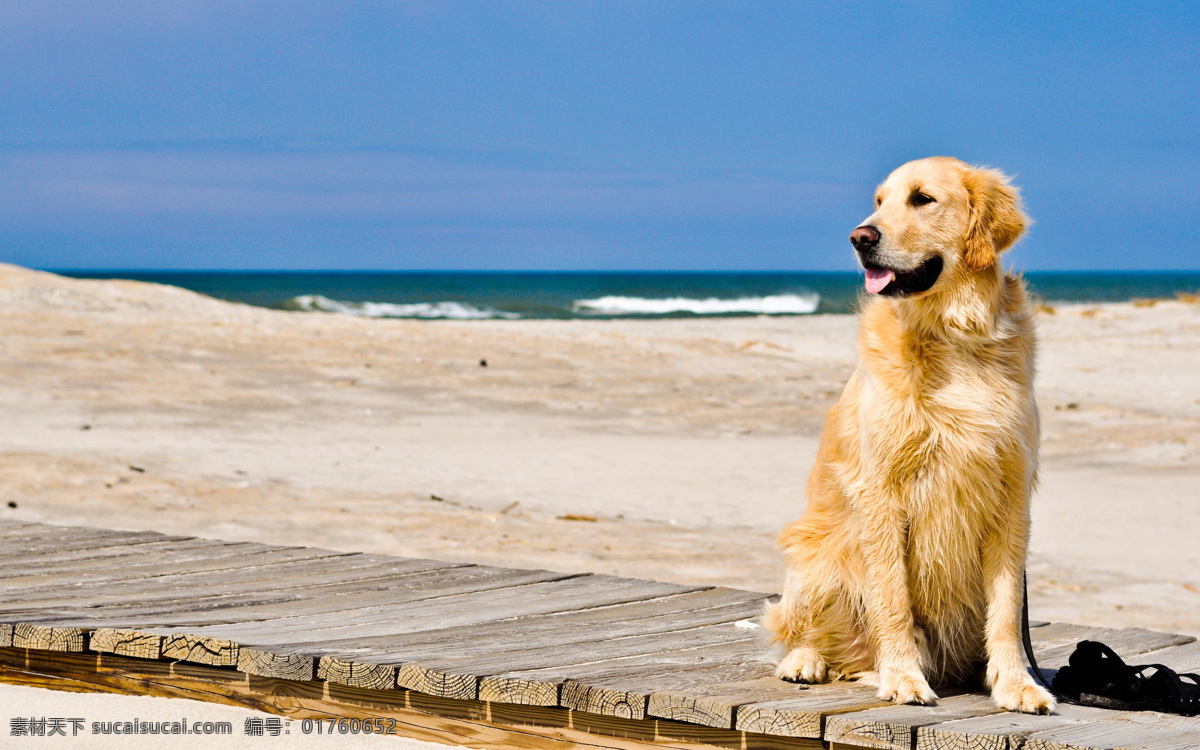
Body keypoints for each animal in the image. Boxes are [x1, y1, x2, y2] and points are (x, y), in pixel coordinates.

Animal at [763, 154, 1056, 710]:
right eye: (879, 201)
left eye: (922, 199)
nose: (860, 237)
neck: (954, 336)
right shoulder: (881, 492)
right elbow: (892, 597)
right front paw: (902, 676)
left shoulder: (1011, 496)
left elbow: (1007, 609)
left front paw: (1016, 682)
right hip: (817, 557)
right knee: (808, 634)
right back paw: (806, 661)